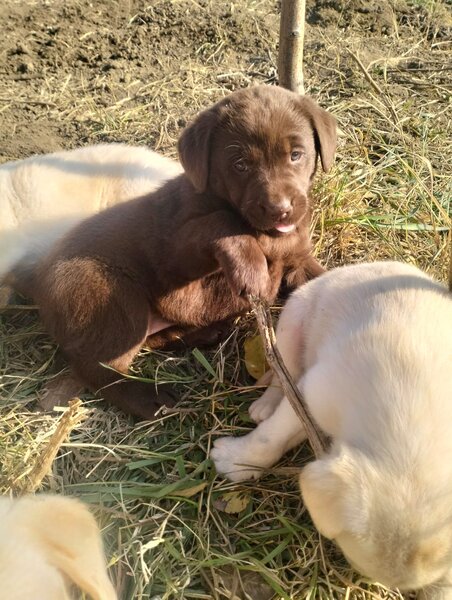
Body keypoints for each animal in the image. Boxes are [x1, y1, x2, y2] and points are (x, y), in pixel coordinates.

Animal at [214, 262, 452, 600]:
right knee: (281, 373)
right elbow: (271, 435)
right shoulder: (311, 392)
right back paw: (265, 404)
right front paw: (237, 461)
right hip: (293, 320)